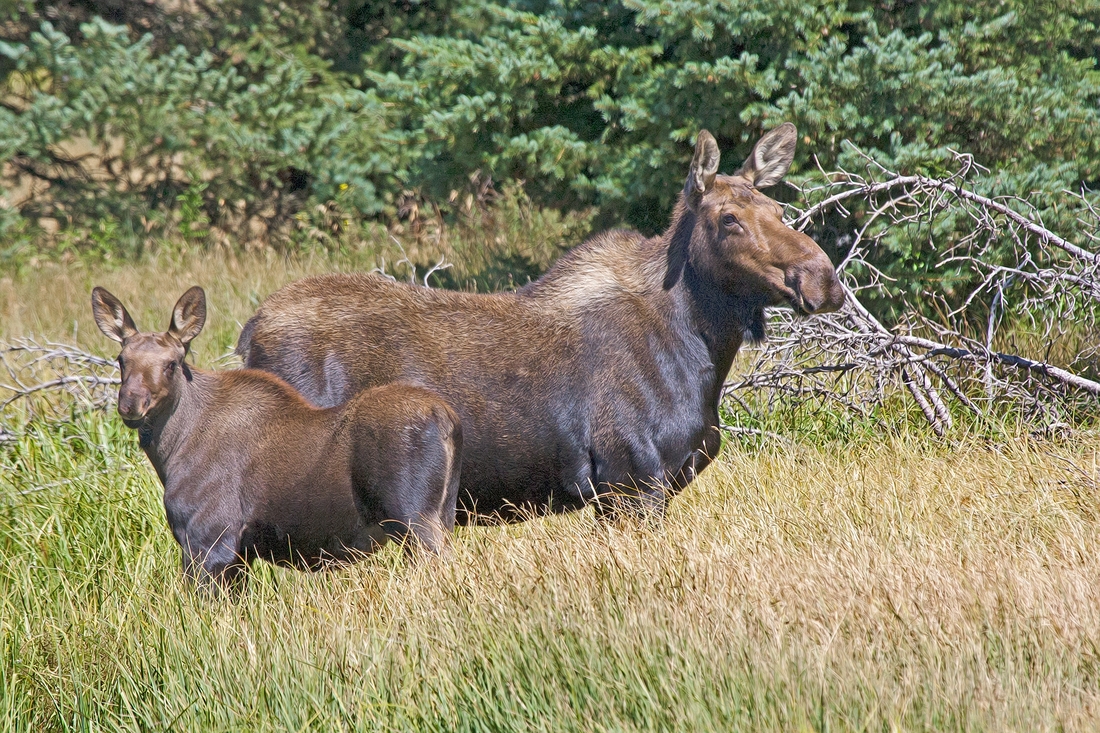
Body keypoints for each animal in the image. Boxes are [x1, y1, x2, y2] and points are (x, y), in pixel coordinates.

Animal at [90, 281, 459, 585]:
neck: (171, 451)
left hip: (415, 520)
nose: (131, 403)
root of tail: (446, 419)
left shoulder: (208, 539)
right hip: (442, 515)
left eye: (171, 363)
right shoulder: (236, 554)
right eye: (122, 360)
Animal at [238, 121, 840, 519]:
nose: (823, 279)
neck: (701, 349)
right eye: (729, 218)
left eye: (780, 211)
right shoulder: (629, 478)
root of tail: (247, 335)